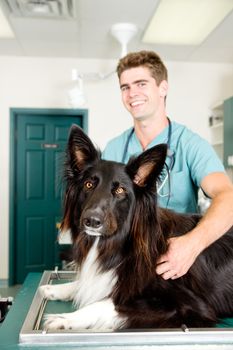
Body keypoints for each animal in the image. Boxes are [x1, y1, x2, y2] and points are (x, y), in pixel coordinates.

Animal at [39, 125, 233, 330]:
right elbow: (88, 285)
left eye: (119, 190)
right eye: (89, 184)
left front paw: (65, 318)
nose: (91, 221)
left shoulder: (190, 306)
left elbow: (108, 303)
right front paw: (57, 289)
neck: (122, 245)